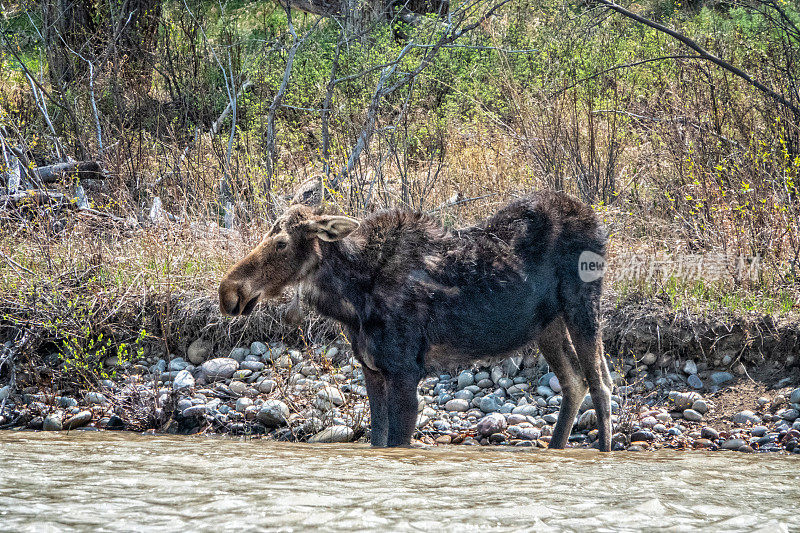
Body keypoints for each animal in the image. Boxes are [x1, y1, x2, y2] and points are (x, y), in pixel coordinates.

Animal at [219, 190, 612, 448]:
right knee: (575, 381)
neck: (351, 299)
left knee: (600, 384)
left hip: (583, 305)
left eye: (282, 243)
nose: (228, 291)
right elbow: (377, 438)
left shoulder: (405, 369)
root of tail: (598, 223)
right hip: (548, 324)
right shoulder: (373, 369)